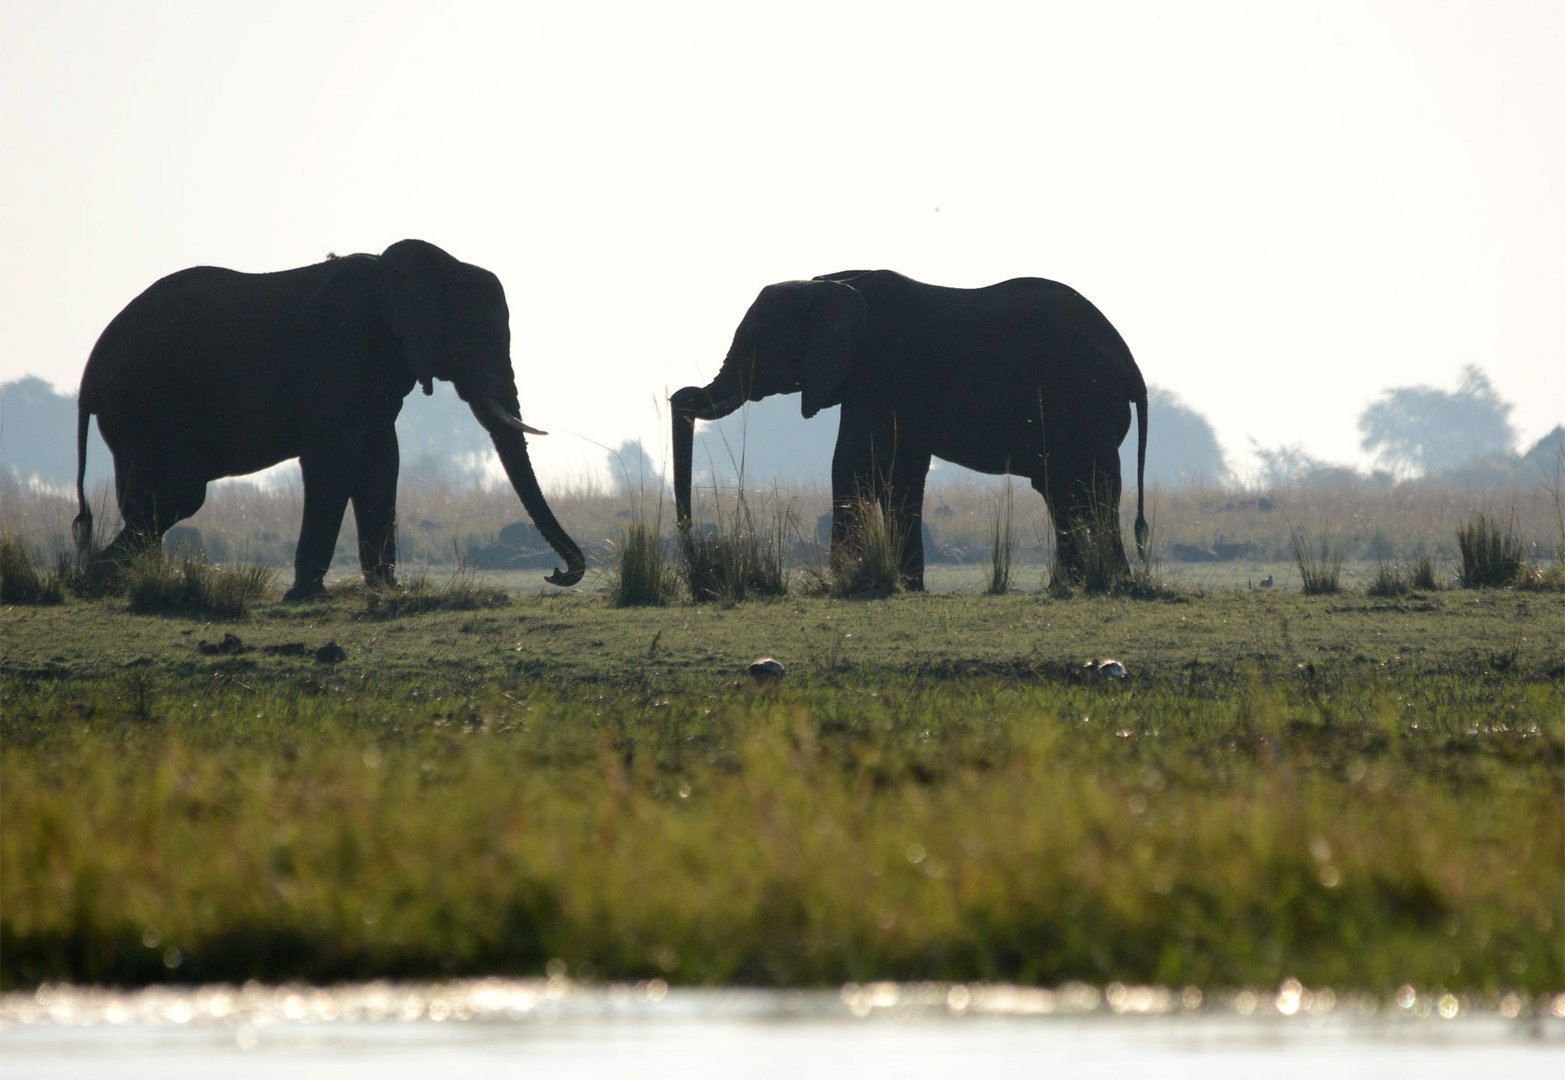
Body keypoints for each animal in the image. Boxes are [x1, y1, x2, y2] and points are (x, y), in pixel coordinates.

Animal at [73, 236, 588, 601]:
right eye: (475, 336)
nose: (556, 573)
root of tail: (88, 377)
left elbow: (381, 462)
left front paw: (387, 590)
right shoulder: (336, 354)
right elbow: (335, 461)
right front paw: (305, 595)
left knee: (149, 502)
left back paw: (114, 578)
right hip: (146, 410)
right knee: (175, 497)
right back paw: (102, 579)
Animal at [672, 269, 1151, 588]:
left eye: (757, 346)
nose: (695, 555)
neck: (830, 283)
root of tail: (1132, 366)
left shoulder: (878, 372)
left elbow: (852, 462)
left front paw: (842, 584)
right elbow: (903, 473)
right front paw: (906, 586)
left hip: (1086, 405)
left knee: (1090, 487)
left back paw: (1110, 585)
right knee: (1063, 490)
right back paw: (1073, 586)